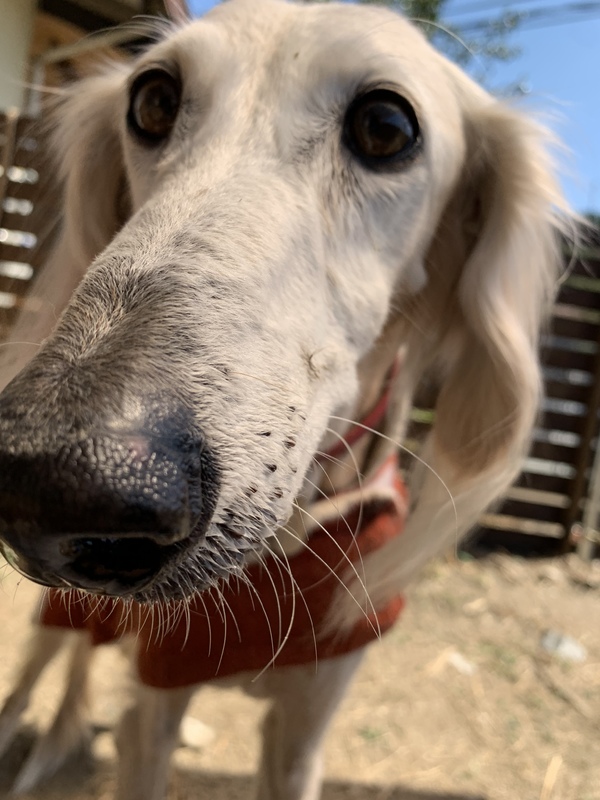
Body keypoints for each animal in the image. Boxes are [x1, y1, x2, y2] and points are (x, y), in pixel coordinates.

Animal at [0, 1, 572, 800]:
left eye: (386, 126)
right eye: (152, 101)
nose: (51, 479)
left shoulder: (306, 723)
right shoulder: (155, 700)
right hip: (60, 614)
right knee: (32, 679)